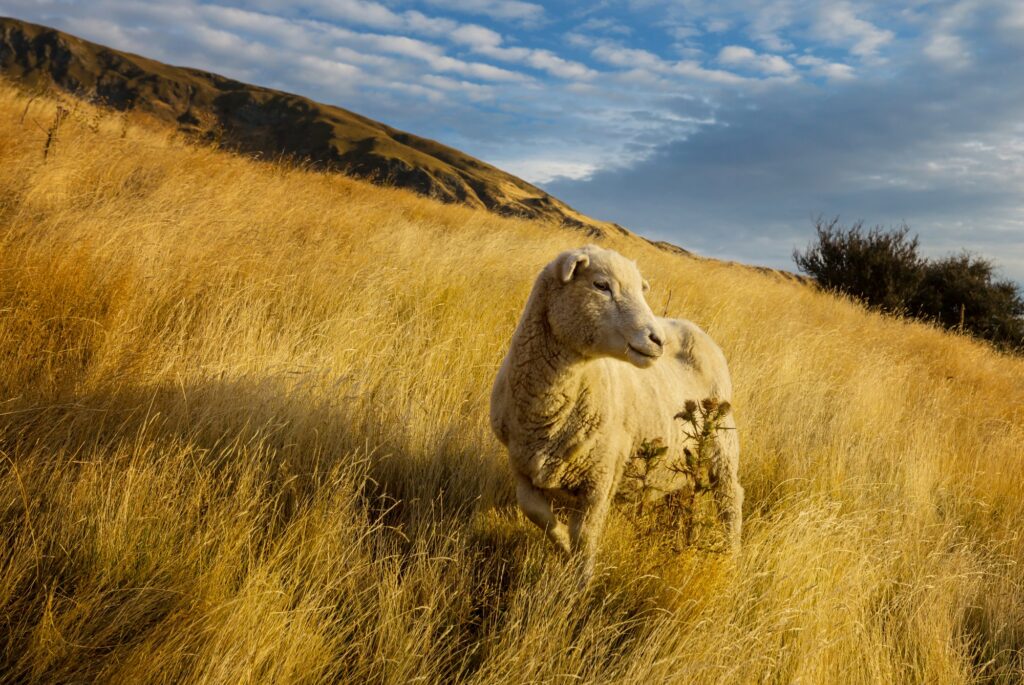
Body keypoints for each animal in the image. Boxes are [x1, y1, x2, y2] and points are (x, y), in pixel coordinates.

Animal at [490, 245, 742, 577]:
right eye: (601, 285)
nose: (657, 340)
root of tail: (693, 328)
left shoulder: (602, 471)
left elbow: (585, 535)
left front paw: (580, 579)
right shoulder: (521, 463)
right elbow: (535, 513)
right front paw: (562, 545)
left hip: (723, 443)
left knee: (730, 500)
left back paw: (732, 557)